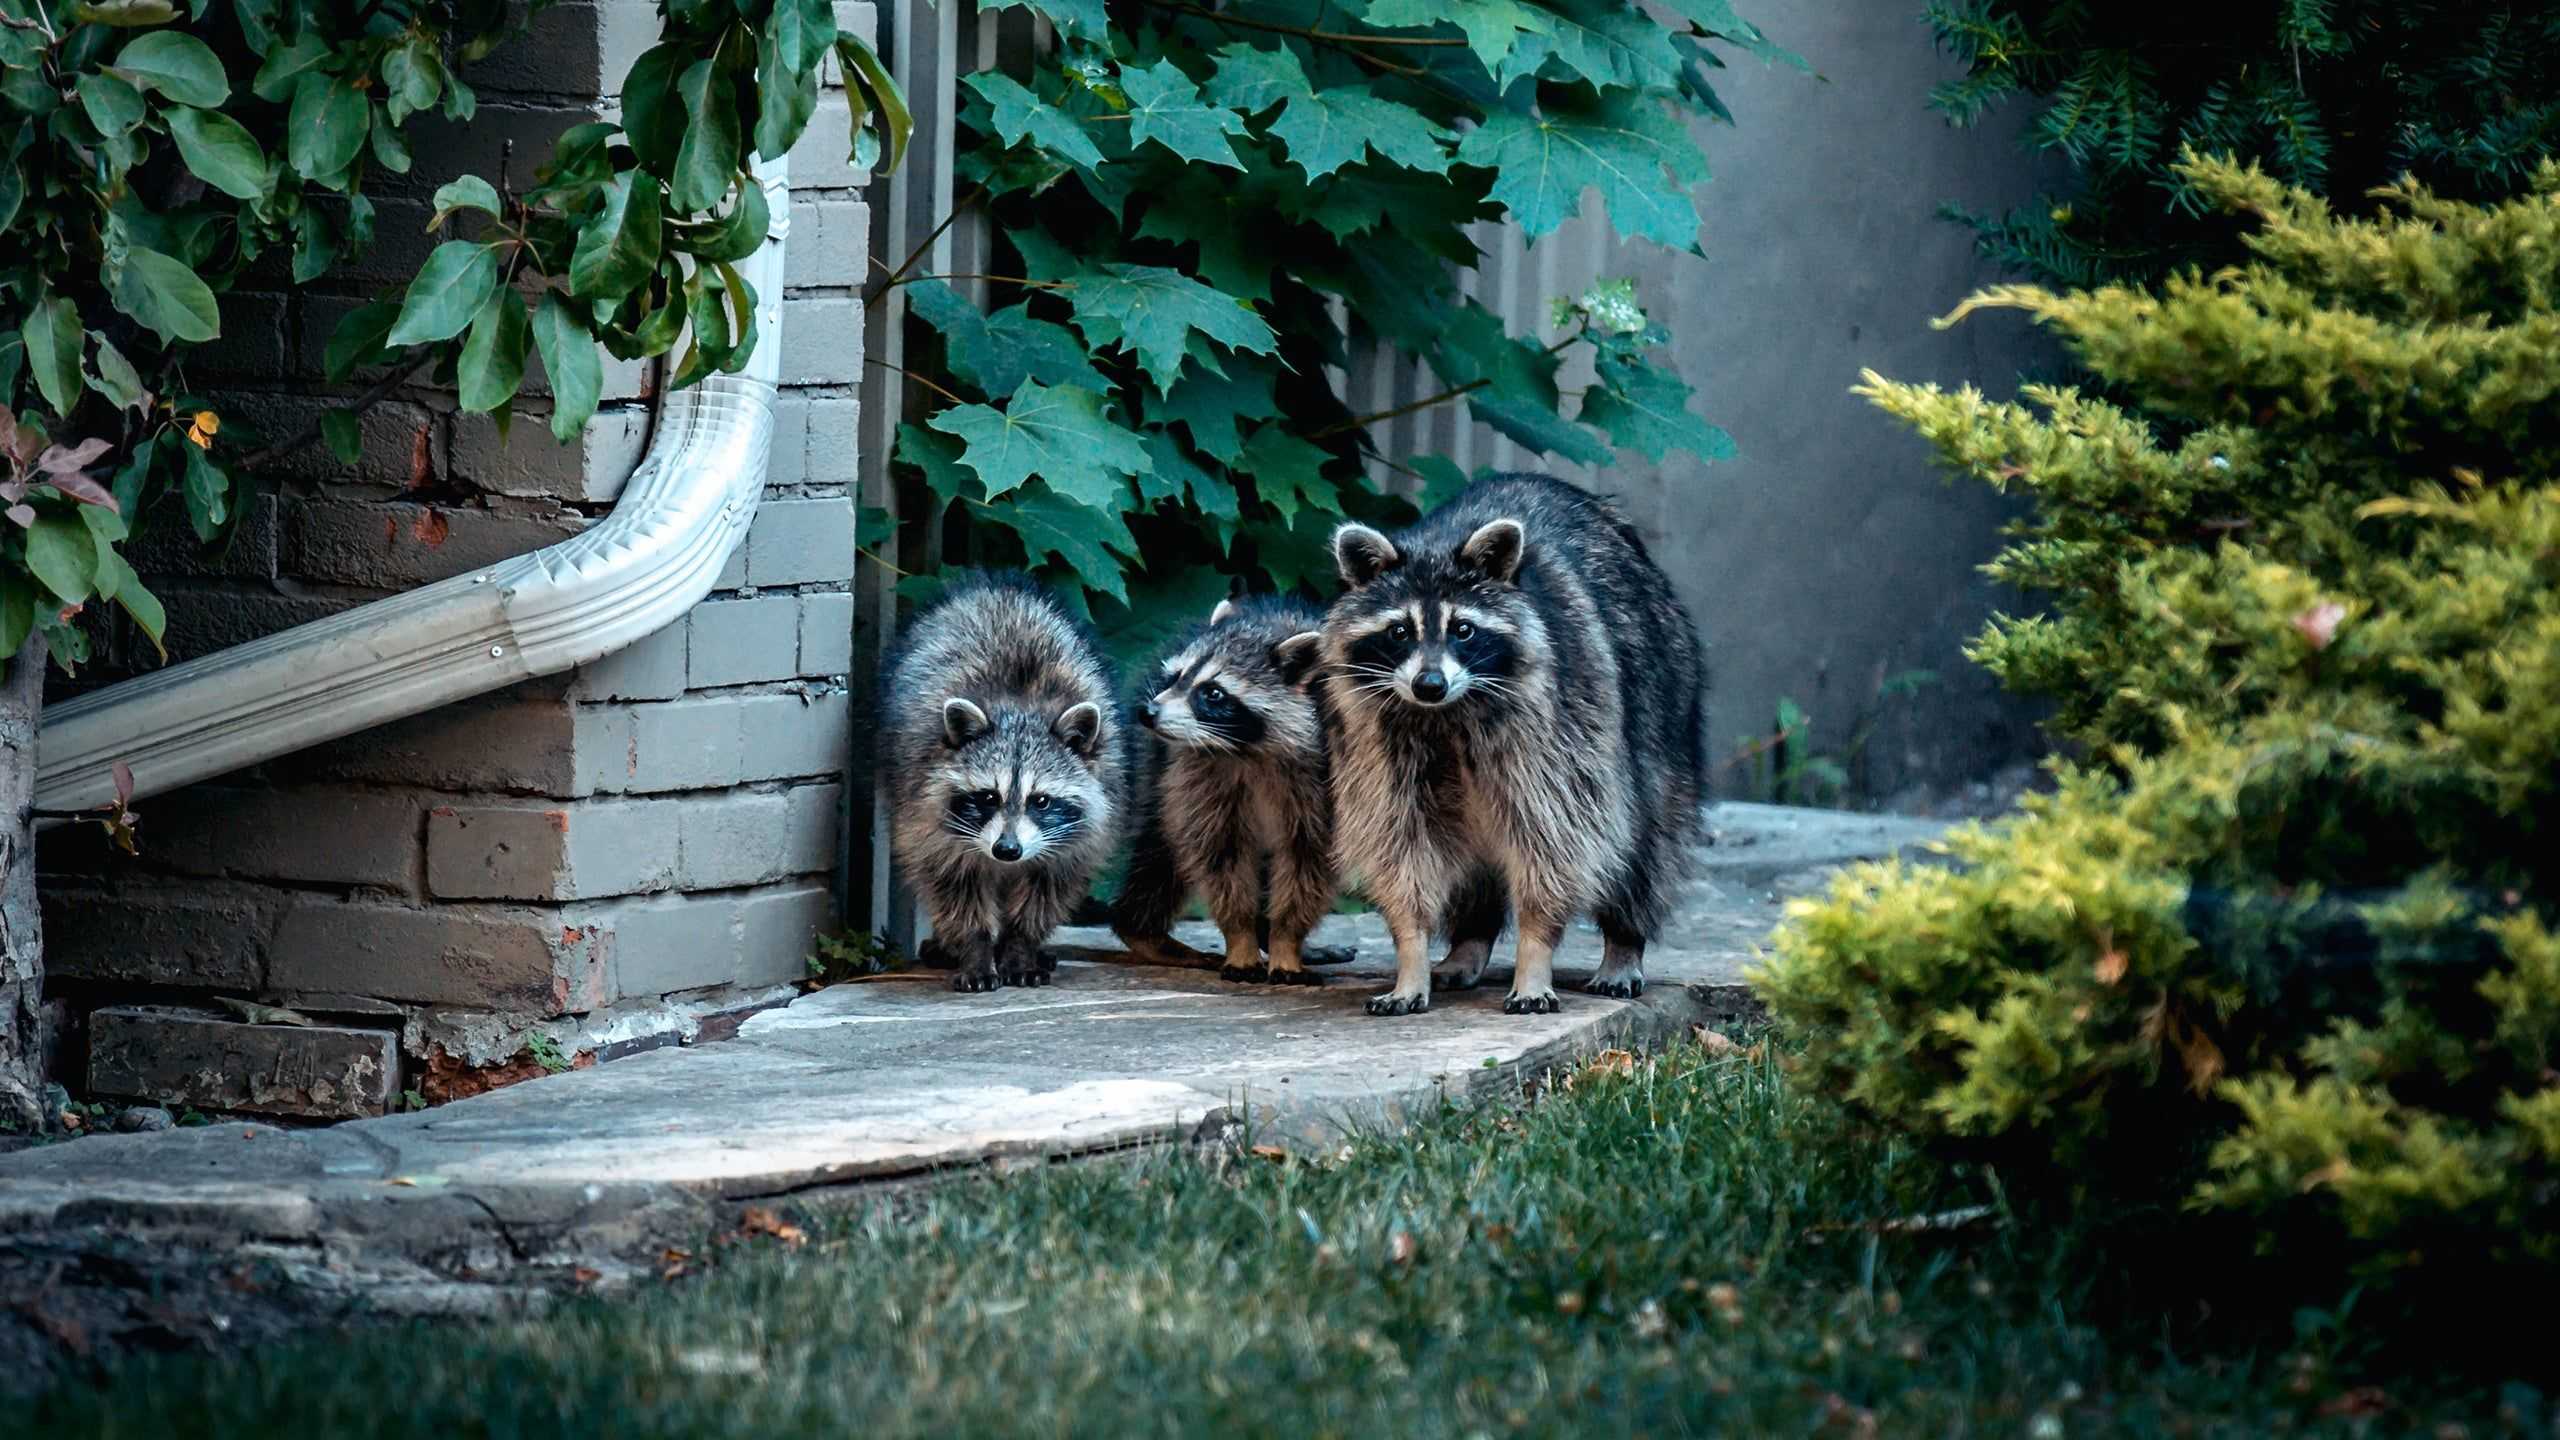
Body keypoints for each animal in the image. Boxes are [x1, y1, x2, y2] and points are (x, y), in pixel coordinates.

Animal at [875, 568, 1126, 983]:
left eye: (1041, 800)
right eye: (989, 796)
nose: (1007, 850)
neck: (1021, 706)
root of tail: (998, 585)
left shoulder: (1082, 831)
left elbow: (1047, 889)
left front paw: (1021, 947)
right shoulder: (925, 807)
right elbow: (951, 883)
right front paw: (975, 948)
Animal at [1116, 589, 1351, 978]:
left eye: (1213, 693)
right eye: (1175, 677)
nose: (1147, 713)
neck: (1249, 750)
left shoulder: (1330, 779)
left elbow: (1307, 861)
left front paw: (1286, 940)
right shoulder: (1199, 773)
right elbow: (1221, 855)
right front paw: (1240, 936)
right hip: (1154, 767)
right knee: (1160, 850)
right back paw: (1143, 931)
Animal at [1320, 471, 1699, 1009]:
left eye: (1463, 629)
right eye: (1399, 631)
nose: (1429, 684)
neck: (1447, 713)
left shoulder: (1561, 726)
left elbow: (1559, 838)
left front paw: (1535, 953)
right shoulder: (1377, 738)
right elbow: (1400, 842)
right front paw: (1411, 954)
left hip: (1662, 700)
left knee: (1644, 844)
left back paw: (1624, 943)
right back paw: (1468, 942)